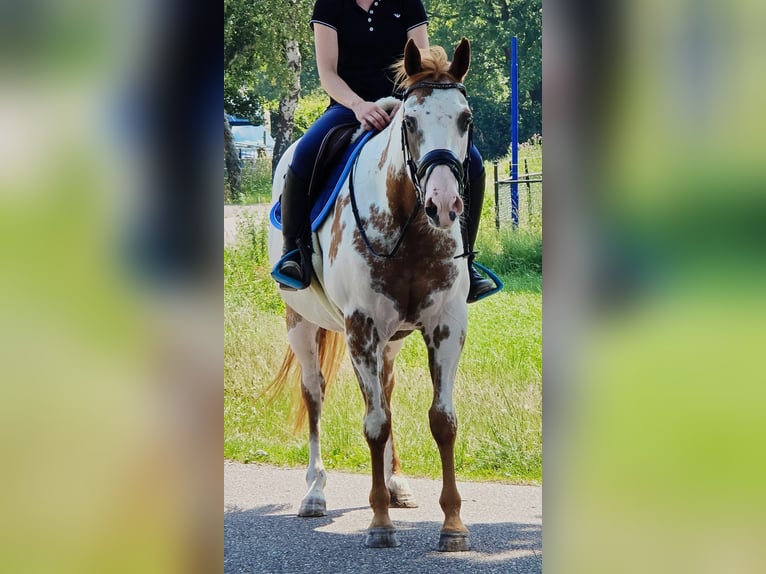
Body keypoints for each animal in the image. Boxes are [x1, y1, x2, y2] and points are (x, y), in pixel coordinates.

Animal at [267, 38, 476, 552]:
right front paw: (379, 524)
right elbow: (374, 423)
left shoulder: (446, 325)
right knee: (315, 394)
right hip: (301, 324)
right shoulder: (361, 328)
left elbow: (442, 421)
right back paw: (315, 493)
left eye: (465, 119)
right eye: (410, 122)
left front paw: (452, 526)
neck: (407, 225)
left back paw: (397, 483)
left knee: (387, 389)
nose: (444, 203)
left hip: (393, 339)